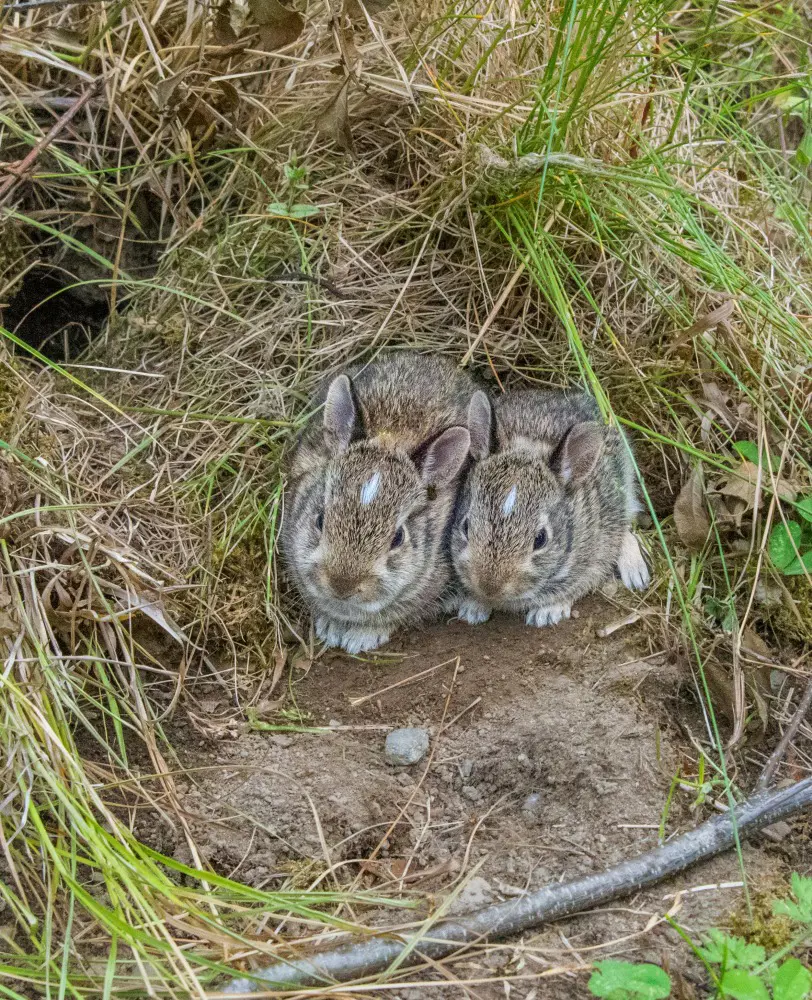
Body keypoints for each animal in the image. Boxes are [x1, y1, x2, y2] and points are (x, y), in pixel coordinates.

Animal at [282, 352, 475, 654]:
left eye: (398, 538)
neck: (392, 437)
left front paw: (360, 638)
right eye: (320, 520)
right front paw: (331, 627)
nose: (342, 585)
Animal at [449, 388, 649, 628]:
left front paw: (546, 613)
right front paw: (473, 608)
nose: (490, 586)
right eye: (466, 526)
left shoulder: (596, 555)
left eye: (540, 539)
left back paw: (635, 574)